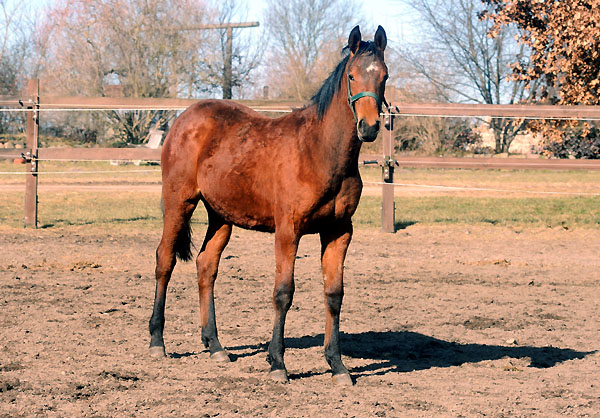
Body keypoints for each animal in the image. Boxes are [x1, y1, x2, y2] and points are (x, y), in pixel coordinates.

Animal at [150, 26, 390, 386]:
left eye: (384, 77)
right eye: (352, 76)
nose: (370, 127)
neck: (319, 151)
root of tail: (183, 119)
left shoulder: (339, 231)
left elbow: (334, 294)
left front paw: (337, 365)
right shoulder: (288, 231)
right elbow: (284, 292)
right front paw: (277, 363)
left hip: (220, 215)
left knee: (206, 265)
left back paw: (215, 346)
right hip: (180, 201)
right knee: (165, 260)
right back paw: (157, 342)